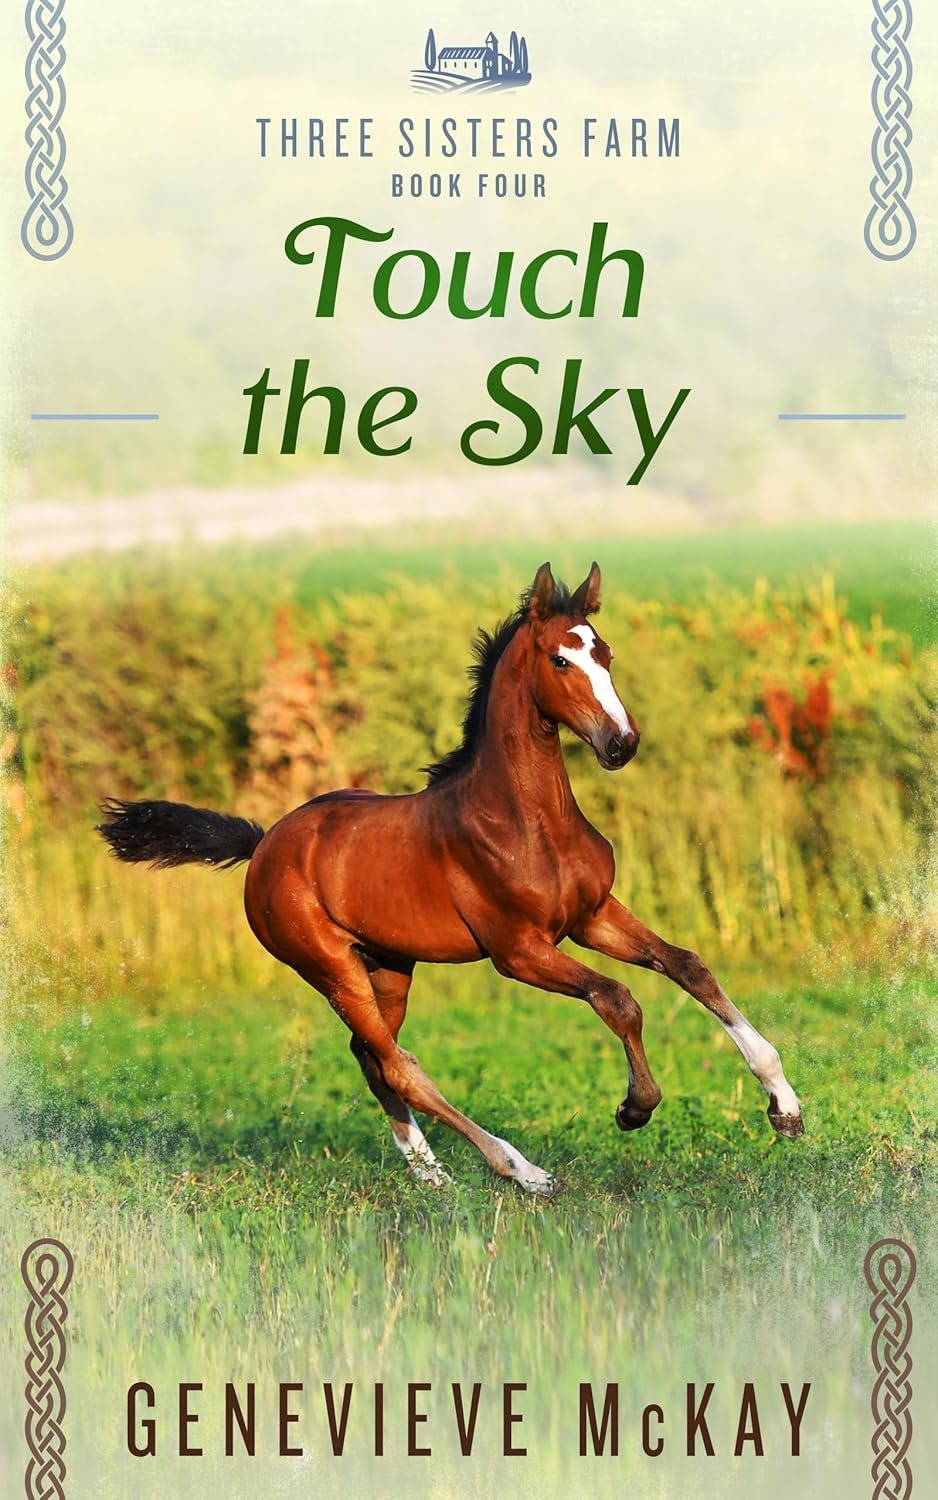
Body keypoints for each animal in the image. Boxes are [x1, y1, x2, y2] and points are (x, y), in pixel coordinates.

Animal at [98, 562, 803, 1195]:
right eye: (560, 661)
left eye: (604, 652)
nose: (621, 743)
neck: (526, 820)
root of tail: (265, 842)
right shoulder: (518, 951)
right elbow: (617, 998)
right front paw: (635, 1108)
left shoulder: (593, 914)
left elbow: (688, 966)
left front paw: (784, 1105)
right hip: (329, 966)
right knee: (400, 1065)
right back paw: (521, 1171)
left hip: (388, 966)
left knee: (372, 1058)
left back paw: (431, 1175)